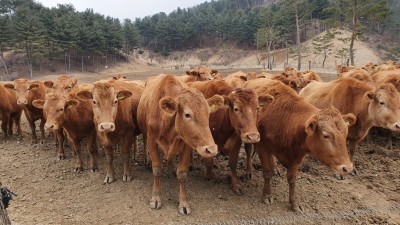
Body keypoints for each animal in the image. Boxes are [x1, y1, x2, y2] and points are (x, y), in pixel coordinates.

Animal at [138, 74, 225, 214]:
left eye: (208, 113)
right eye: (187, 114)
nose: (211, 149)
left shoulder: (187, 144)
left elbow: (182, 174)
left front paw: (184, 203)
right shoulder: (151, 140)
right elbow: (156, 169)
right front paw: (156, 197)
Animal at [244, 79, 354, 213]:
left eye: (346, 133)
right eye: (325, 135)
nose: (347, 168)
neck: (286, 121)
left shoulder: (297, 158)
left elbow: (292, 180)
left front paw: (294, 203)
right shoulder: (262, 148)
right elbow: (267, 172)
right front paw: (267, 195)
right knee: (248, 152)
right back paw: (249, 171)